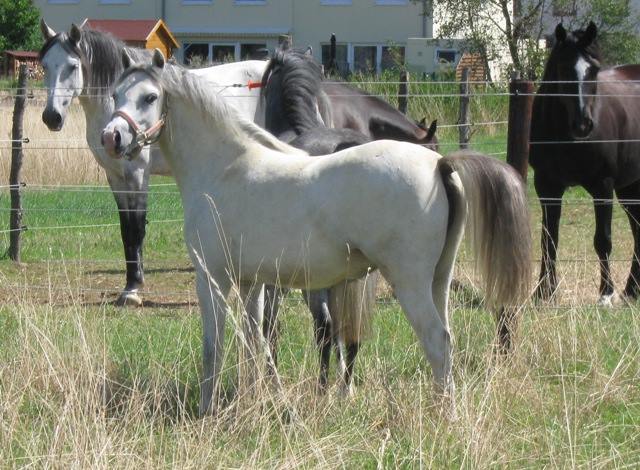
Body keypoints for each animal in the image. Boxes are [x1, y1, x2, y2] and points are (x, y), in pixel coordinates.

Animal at [38, 19, 266, 304]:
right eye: (44, 65)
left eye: (72, 66)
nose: (52, 117)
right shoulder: (115, 177)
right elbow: (125, 230)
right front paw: (129, 284)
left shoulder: (137, 174)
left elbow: (137, 228)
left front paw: (133, 289)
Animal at [101, 50, 528, 414]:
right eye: (116, 93)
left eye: (150, 97)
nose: (111, 138)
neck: (226, 167)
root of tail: (439, 164)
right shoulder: (254, 282)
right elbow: (257, 343)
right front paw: (261, 400)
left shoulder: (213, 278)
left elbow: (215, 345)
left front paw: (208, 411)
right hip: (438, 280)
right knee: (445, 339)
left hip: (409, 283)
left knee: (436, 340)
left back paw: (444, 416)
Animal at [532, 22, 640, 304]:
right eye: (563, 69)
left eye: (593, 70)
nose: (583, 125)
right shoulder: (546, 187)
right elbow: (549, 239)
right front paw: (544, 292)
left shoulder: (603, 186)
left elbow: (603, 240)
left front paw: (605, 294)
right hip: (629, 188)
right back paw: (632, 291)